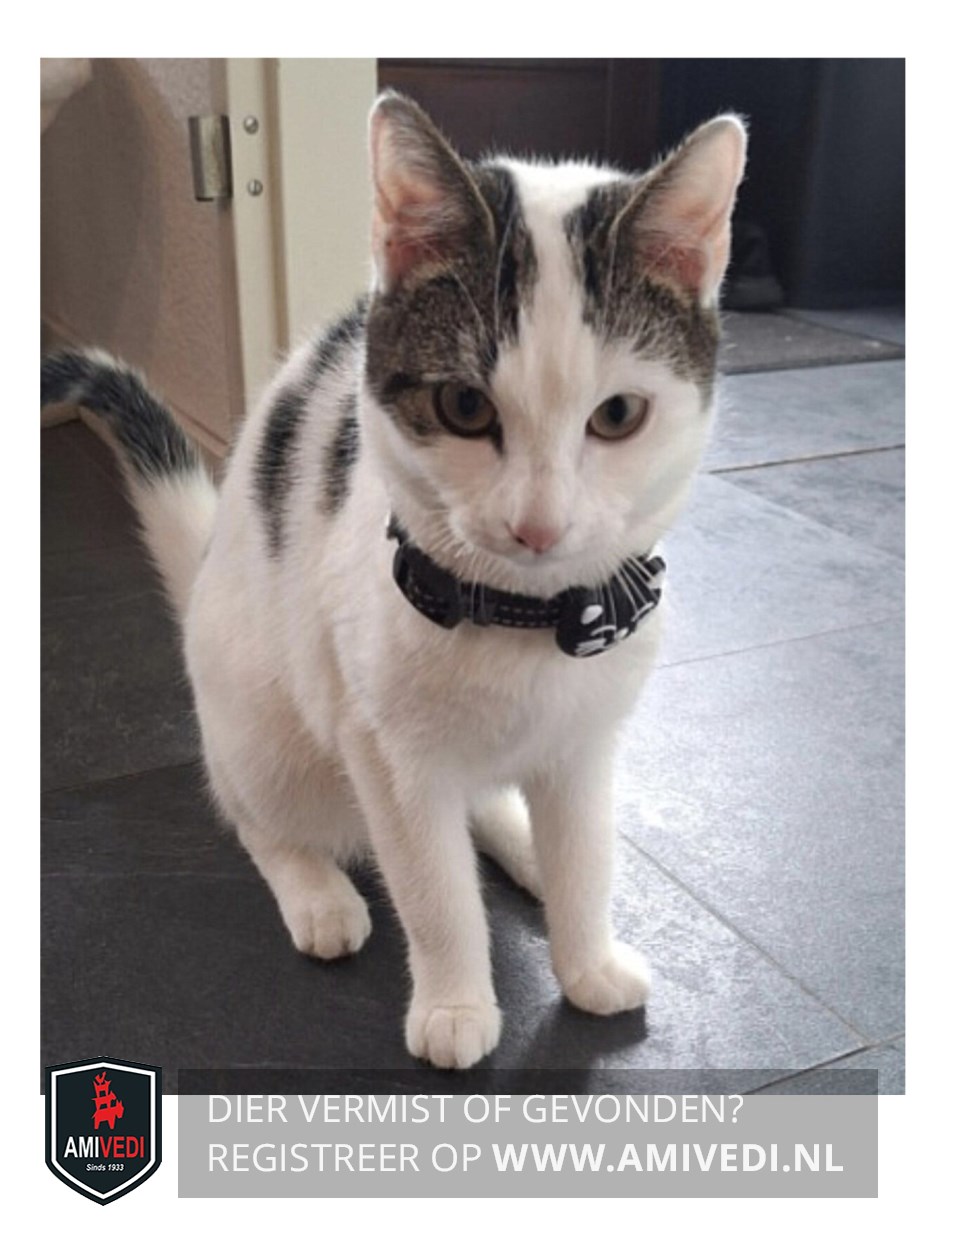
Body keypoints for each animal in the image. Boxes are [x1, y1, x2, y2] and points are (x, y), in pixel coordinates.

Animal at [41, 92, 746, 1069]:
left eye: (618, 415)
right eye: (464, 406)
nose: (537, 524)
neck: (523, 619)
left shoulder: (586, 741)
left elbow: (583, 853)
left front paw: (588, 955)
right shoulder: (387, 750)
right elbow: (431, 883)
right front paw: (455, 1004)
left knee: (486, 809)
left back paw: (520, 843)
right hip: (262, 729)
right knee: (253, 814)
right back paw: (318, 892)